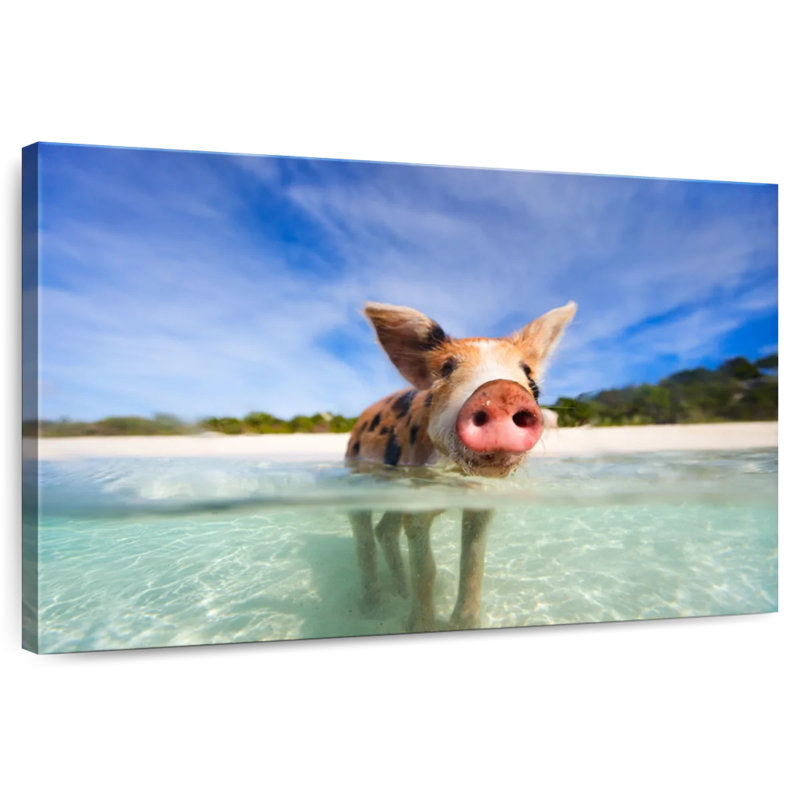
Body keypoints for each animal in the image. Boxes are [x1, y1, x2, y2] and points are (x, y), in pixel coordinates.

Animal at [346, 300, 576, 632]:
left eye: (530, 377)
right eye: (446, 369)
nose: (501, 392)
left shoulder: (481, 502)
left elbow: (473, 561)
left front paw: (463, 625)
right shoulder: (418, 500)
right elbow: (427, 569)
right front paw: (419, 628)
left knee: (385, 530)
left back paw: (400, 593)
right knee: (364, 533)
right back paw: (373, 610)